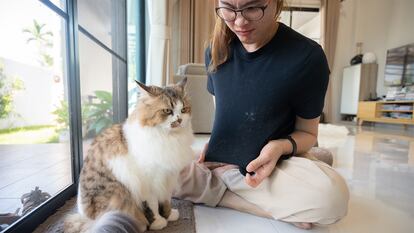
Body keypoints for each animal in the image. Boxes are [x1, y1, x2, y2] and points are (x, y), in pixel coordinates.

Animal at [64, 77, 194, 232]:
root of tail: (90, 221)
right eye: (167, 111)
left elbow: (166, 200)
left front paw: (169, 215)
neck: (169, 138)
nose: (179, 120)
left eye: (184, 109)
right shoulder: (150, 182)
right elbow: (153, 206)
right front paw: (159, 222)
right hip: (118, 194)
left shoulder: (169, 176)